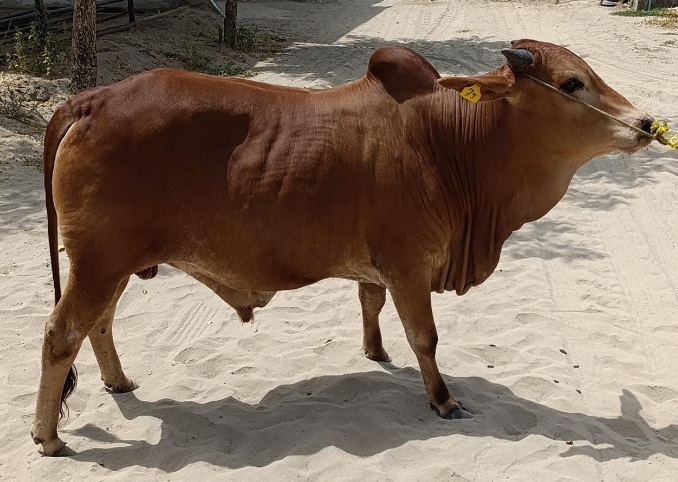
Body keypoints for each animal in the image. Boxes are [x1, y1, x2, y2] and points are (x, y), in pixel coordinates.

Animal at [31, 39, 653, 455]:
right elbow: (425, 337)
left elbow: (370, 306)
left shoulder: (377, 269)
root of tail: (93, 99)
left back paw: (118, 382)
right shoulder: (409, 264)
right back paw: (48, 435)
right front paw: (443, 399)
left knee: (99, 323)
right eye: (571, 84)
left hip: (111, 264)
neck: (449, 142)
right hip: (98, 262)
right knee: (61, 334)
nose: (646, 123)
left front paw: (375, 353)